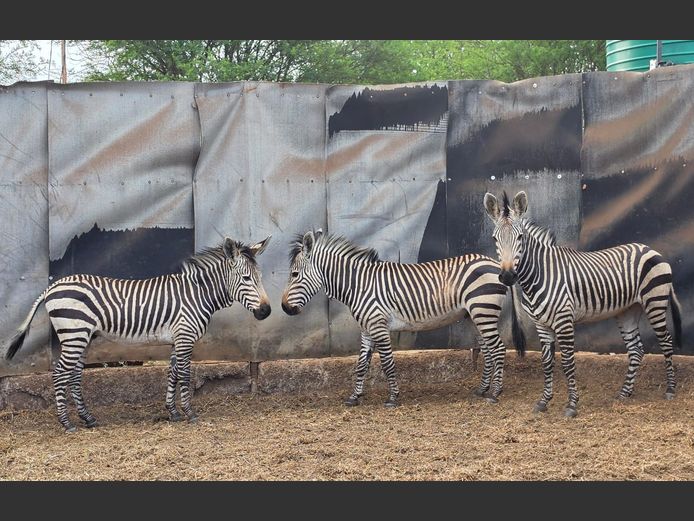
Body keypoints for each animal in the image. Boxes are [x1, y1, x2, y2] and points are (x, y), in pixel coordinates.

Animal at [4, 235, 272, 432]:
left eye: (260, 277)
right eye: (246, 278)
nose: (266, 311)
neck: (197, 294)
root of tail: (52, 287)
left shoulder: (176, 339)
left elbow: (173, 373)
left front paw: (172, 412)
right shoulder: (185, 337)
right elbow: (185, 375)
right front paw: (189, 413)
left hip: (82, 337)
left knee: (74, 375)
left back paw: (88, 418)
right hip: (74, 334)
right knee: (60, 373)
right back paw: (67, 423)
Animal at [281, 229, 525, 407]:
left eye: (294, 274)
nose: (284, 307)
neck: (358, 285)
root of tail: (496, 264)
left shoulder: (378, 326)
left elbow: (387, 363)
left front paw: (392, 398)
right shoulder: (366, 328)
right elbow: (361, 364)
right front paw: (354, 397)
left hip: (483, 309)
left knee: (498, 348)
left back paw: (495, 393)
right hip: (477, 313)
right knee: (487, 349)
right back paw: (483, 389)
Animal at [484, 190, 682, 417]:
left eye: (520, 237)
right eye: (495, 238)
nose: (508, 276)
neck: (539, 274)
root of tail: (649, 249)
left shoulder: (564, 320)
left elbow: (568, 362)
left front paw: (572, 404)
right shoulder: (541, 324)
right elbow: (547, 363)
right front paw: (544, 401)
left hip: (654, 302)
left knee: (666, 342)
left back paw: (670, 389)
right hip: (628, 311)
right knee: (636, 350)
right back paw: (624, 392)